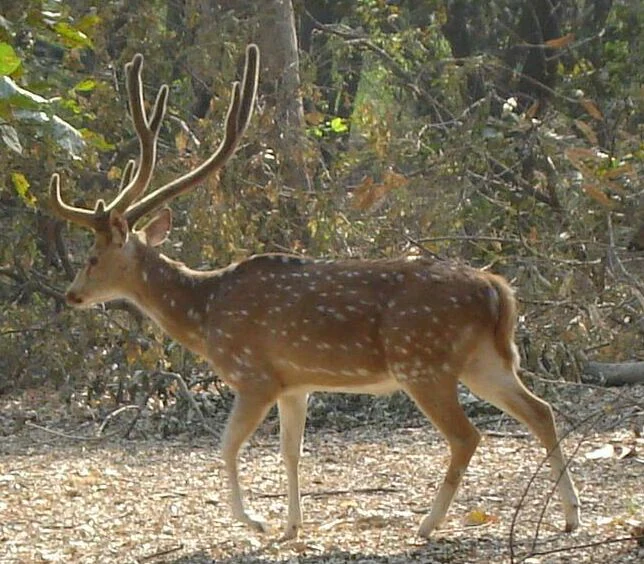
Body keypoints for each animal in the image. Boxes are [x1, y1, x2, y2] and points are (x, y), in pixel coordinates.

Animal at [47, 44, 580, 541]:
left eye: (92, 258)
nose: (71, 294)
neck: (205, 312)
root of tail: (497, 290)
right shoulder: (295, 383)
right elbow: (291, 452)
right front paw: (291, 526)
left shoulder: (254, 375)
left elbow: (227, 446)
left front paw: (256, 521)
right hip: (481, 360)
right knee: (542, 411)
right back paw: (571, 516)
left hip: (423, 361)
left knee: (468, 435)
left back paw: (428, 525)